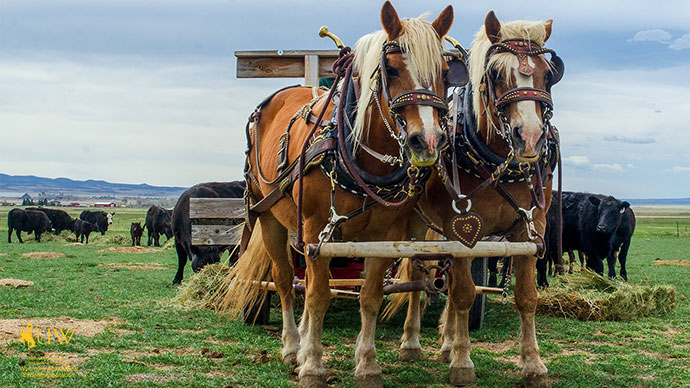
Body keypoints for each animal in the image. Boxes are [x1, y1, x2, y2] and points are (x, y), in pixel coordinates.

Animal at [235, 2, 456, 384]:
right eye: (392, 69)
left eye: (444, 72)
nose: (427, 140)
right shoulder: (316, 231)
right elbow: (318, 295)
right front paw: (312, 363)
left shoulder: (383, 236)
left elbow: (369, 296)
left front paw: (367, 363)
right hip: (268, 214)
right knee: (284, 279)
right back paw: (292, 346)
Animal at [390, 10, 560, 386]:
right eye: (495, 73)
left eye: (548, 74)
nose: (530, 137)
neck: (496, 160)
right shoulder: (462, 228)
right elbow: (465, 294)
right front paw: (462, 363)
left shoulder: (529, 230)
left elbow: (526, 297)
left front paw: (533, 364)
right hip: (417, 226)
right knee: (418, 277)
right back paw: (411, 342)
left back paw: (446, 343)